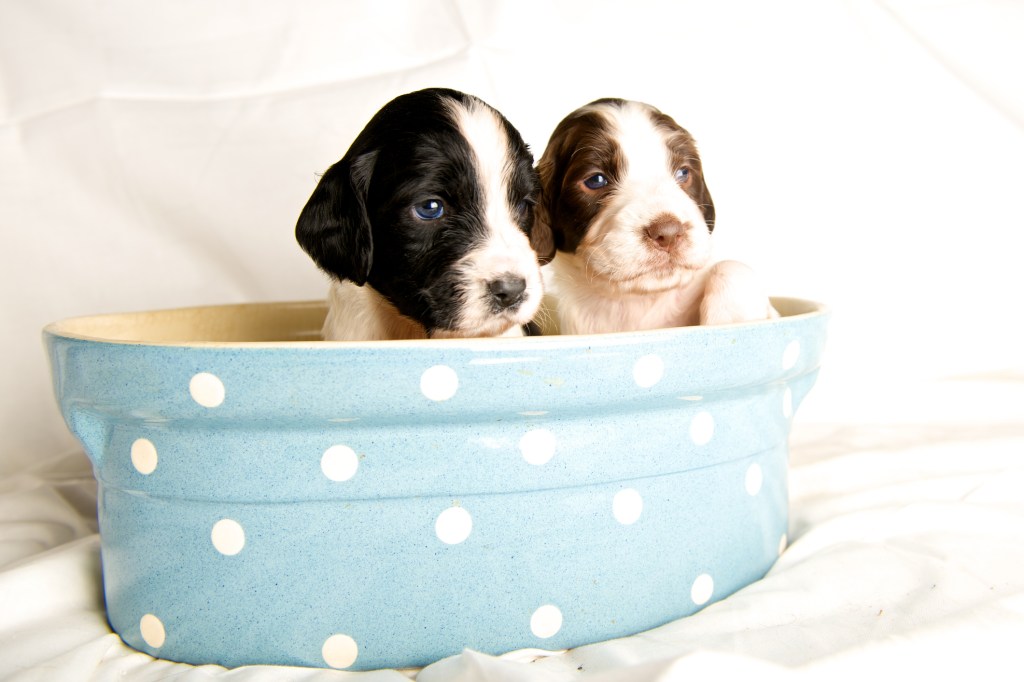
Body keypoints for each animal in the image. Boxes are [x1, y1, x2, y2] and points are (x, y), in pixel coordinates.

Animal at [536, 98, 774, 333]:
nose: (668, 233)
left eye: (683, 172)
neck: (640, 301)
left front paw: (733, 321)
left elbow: (732, 267)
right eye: (596, 180)